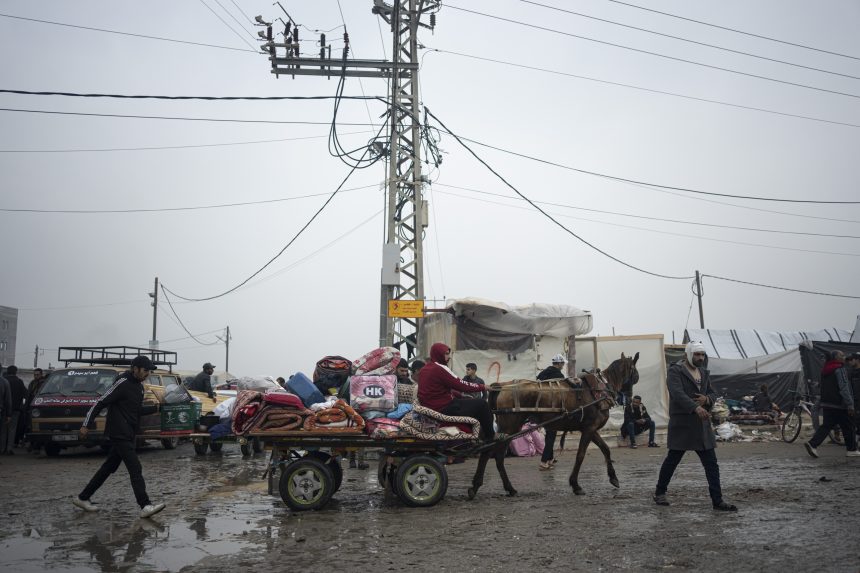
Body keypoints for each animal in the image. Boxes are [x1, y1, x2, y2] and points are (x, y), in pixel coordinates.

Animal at [470, 348, 640, 496]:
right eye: (635, 376)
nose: (629, 399)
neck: (599, 389)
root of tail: (502, 386)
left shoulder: (590, 429)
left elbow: (606, 449)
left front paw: (613, 477)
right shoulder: (589, 428)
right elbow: (581, 455)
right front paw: (575, 484)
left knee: (493, 455)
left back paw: (499, 487)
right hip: (510, 427)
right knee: (492, 454)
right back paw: (488, 486)